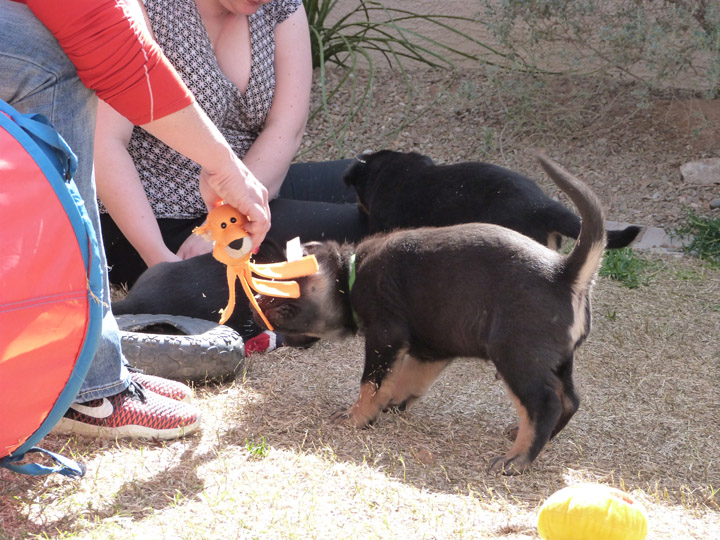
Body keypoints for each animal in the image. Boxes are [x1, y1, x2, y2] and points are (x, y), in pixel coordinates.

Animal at [256, 154, 604, 474]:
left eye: (277, 283)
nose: (255, 299)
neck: (350, 274)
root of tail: (564, 273)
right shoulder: (432, 349)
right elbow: (406, 380)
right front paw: (389, 405)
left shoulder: (385, 334)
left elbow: (371, 382)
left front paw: (356, 416)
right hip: (555, 359)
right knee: (569, 400)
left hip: (515, 356)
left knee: (545, 404)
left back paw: (517, 458)